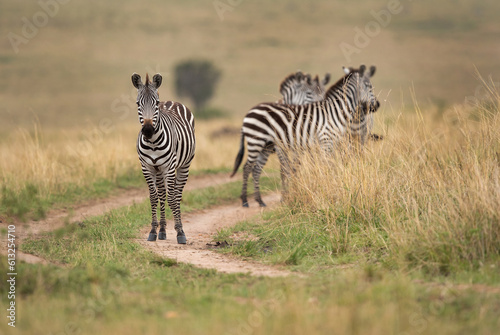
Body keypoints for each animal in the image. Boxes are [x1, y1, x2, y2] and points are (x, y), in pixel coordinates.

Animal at [131, 73, 195, 244]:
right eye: (138, 103)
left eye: (156, 103)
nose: (147, 130)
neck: (153, 143)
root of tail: (171, 101)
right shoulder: (146, 167)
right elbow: (154, 197)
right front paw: (153, 230)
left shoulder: (169, 167)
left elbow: (172, 198)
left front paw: (180, 233)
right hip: (158, 170)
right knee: (162, 194)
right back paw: (162, 230)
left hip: (184, 165)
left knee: (176, 195)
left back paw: (177, 227)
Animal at [230, 65, 378, 207]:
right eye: (369, 86)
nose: (376, 105)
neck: (335, 112)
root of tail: (249, 112)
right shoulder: (325, 141)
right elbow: (324, 167)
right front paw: (326, 189)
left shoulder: (334, 143)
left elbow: (333, 165)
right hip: (256, 141)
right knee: (247, 167)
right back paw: (245, 201)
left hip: (265, 146)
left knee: (256, 169)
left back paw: (260, 201)